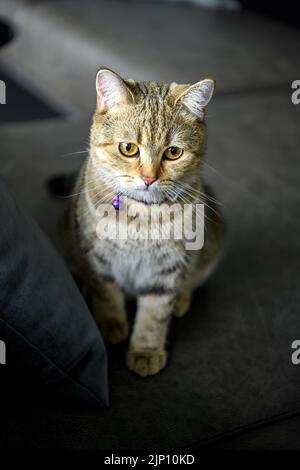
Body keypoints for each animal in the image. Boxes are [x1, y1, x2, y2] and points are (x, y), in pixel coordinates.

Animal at [66, 69, 225, 378]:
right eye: (128, 148)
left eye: (173, 152)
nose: (149, 178)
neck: (142, 218)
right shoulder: (98, 258)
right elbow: (106, 293)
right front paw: (110, 324)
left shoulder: (168, 270)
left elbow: (154, 316)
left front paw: (146, 351)